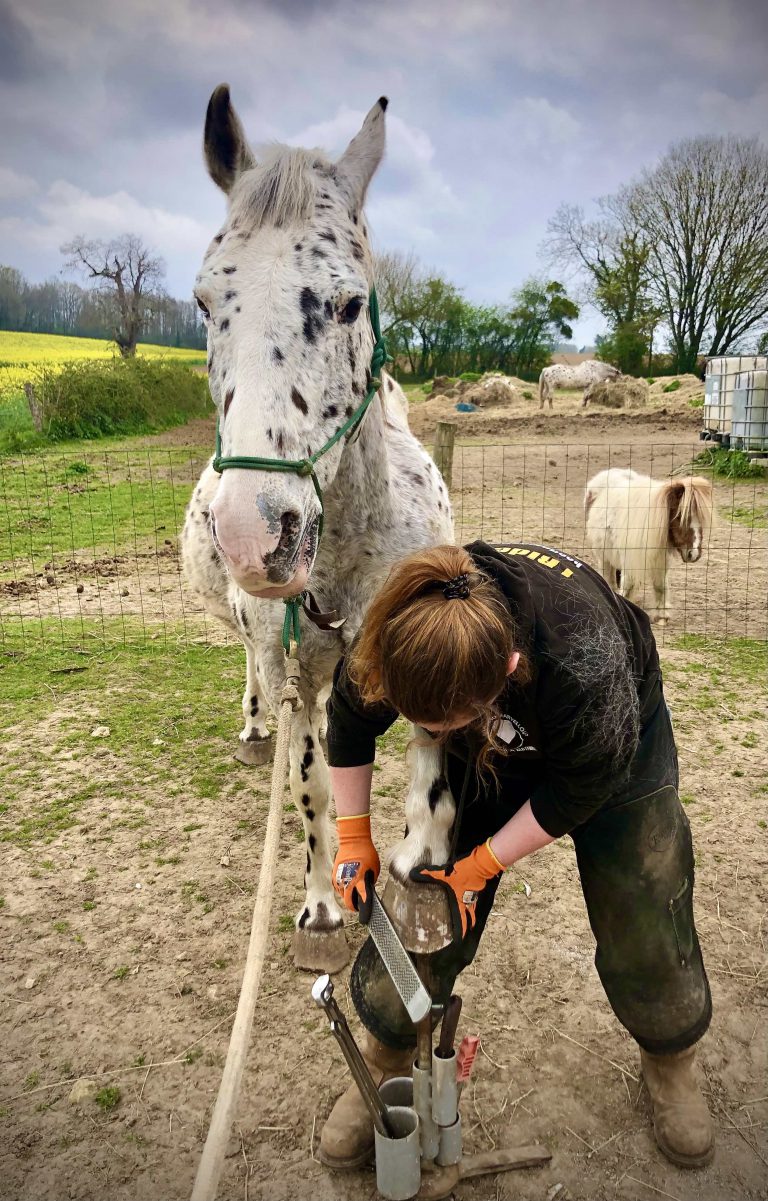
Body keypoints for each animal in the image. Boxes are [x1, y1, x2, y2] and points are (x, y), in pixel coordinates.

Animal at [181, 87, 455, 972]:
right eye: (205, 302)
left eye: (348, 302)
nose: (255, 533)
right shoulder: (292, 662)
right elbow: (310, 787)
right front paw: (324, 911)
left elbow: (423, 774)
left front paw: (417, 867)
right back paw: (252, 725)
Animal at [584, 468, 713, 624]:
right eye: (679, 516)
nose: (693, 554)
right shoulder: (630, 562)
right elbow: (628, 587)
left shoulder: (661, 559)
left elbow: (660, 586)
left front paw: (662, 616)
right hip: (603, 555)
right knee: (608, 577)